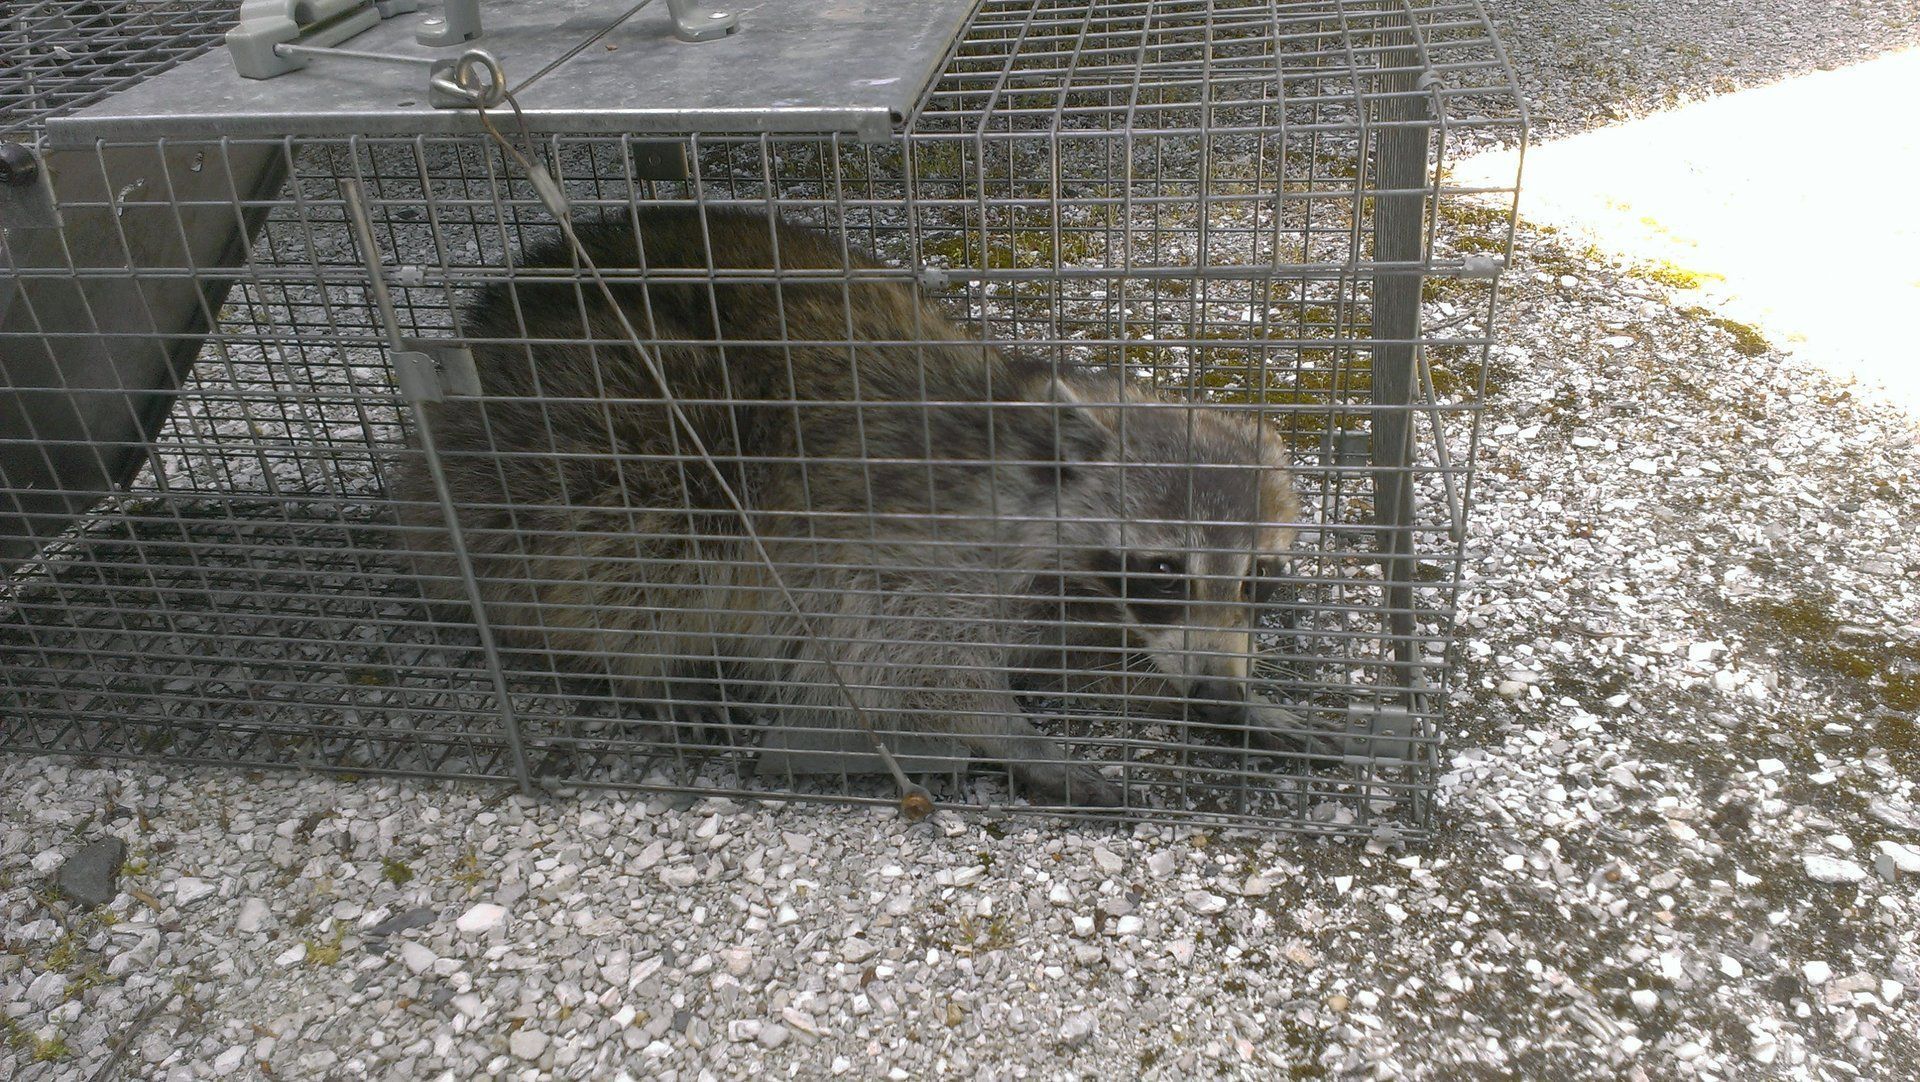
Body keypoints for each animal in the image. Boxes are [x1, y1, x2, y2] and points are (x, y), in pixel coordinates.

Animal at [394, 207, 1312, 806]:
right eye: (1163, 566)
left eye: (1257, 579)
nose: (1219, 689)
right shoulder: (903, 557)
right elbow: (917, 671)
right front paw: (1016, 737)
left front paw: (1236, 698)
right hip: (605, 423)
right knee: (633, 537)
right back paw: (641, 663)